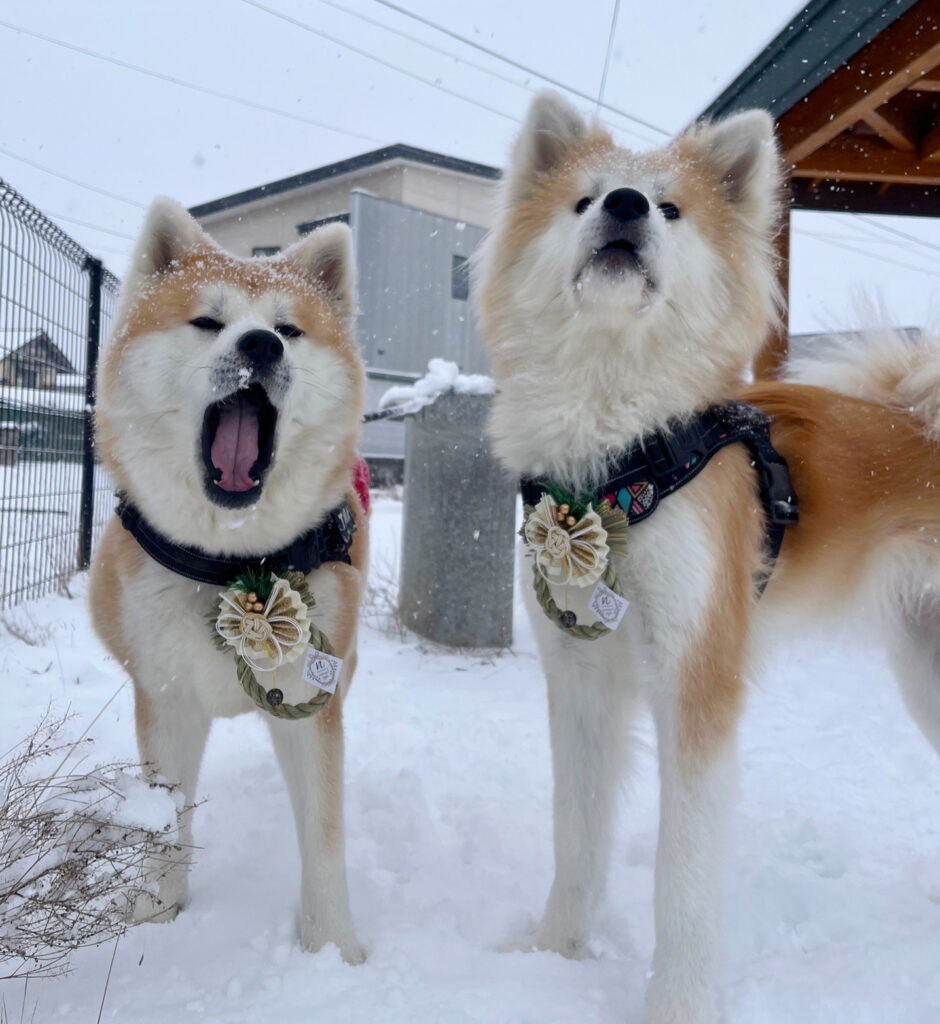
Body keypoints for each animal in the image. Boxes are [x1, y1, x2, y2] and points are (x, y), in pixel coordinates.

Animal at [90, 199, 368, 963]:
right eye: (208, 322)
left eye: (289, 329)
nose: (261, 346)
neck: (231, 567)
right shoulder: (166, 699)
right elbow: (165, 822)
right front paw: (157, 917)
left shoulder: (310, 697)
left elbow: (325, 837)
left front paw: (333, 951)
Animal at [475, 91, 940, 1022]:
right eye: (584, 200)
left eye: (671, 209)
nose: (625, 205)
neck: (617, 463)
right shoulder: (579, 677)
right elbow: (577, 835)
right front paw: (554, 952)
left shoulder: (697, 672)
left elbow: (681, 876)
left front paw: (679, 1005)